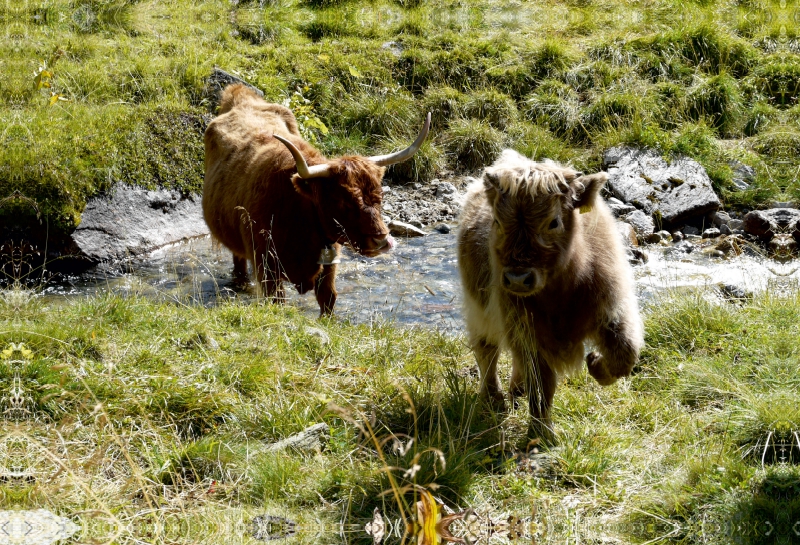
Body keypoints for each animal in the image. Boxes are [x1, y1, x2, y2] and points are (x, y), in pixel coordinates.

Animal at [203, 84, 432, 314]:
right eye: (342, 200)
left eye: (380, 196)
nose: (382, 240)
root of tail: (240, 94)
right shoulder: (266, 265)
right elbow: (277, 300)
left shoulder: (328, 266)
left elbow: (328, 298)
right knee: (239, 262)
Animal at [456, 150, 644, 438]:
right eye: (498, 221)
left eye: (553, 222)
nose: (518, 278)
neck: (560, 294)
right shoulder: (525, 330)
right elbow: (541, 385)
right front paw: (541, 434)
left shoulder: (613, 309)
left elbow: (625, 354)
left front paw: (596, 365)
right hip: (479, 307)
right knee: (486, 350)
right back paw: (494, 398)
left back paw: (516, 389)